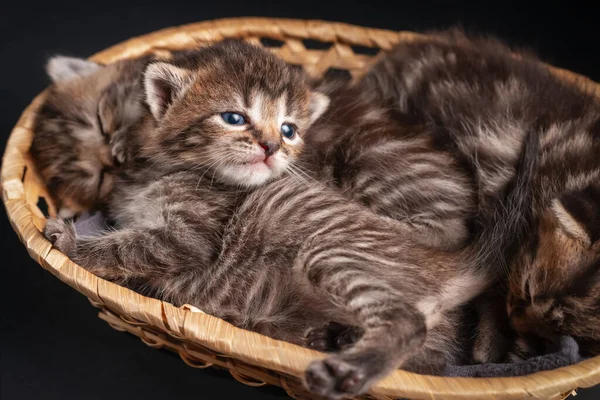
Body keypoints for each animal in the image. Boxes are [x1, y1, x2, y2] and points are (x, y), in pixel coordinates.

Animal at [43, 39, 492, 396]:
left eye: (289, 129)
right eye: (234, 118)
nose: (272, 146)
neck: (157, 171)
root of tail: (456, 265)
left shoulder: (190, 236)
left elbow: (130, 246)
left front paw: (71, 242)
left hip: (335, 245)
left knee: (410, 321)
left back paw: (345, 368)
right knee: (427, 354)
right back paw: (329, 336)